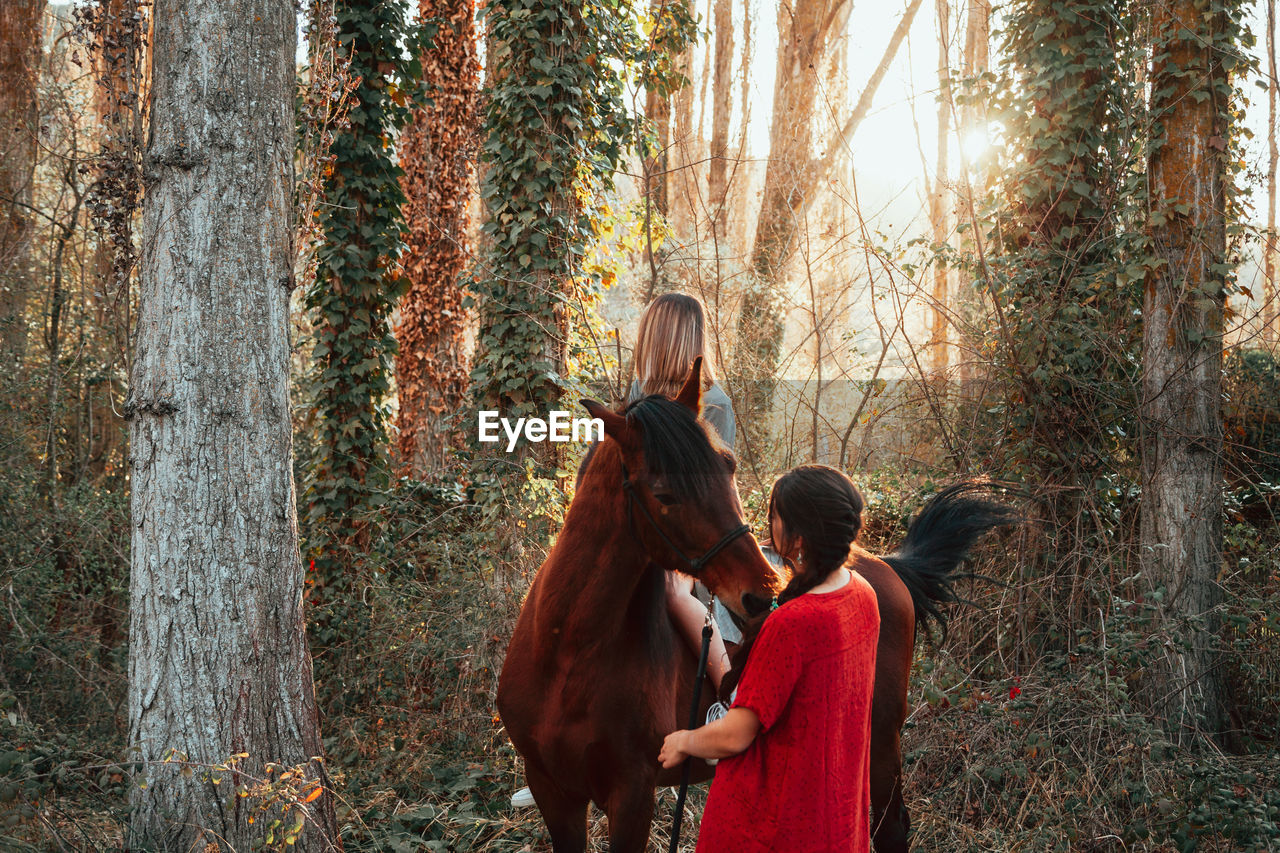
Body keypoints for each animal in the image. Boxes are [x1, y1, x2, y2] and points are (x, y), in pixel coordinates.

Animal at [496, 356, 778, 845]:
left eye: (728, 467)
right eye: (664, 494)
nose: (763, 593)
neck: (568, 651)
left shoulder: (632, 794)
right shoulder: (552, 789)